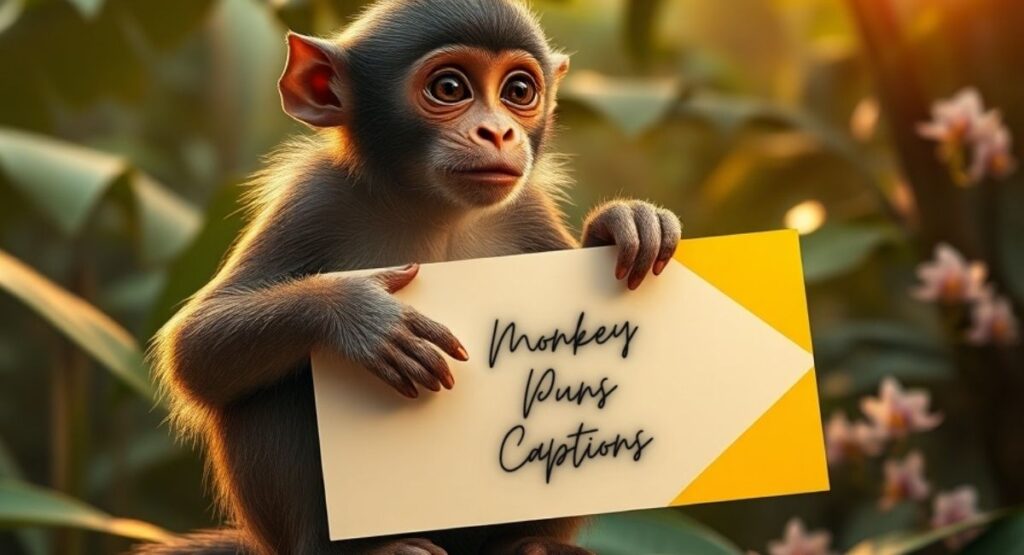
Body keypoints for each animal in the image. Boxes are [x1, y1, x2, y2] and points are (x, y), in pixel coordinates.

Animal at [135, 1, 682, 554]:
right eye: (450, 88)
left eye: (519, 92)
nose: (499, 132)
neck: (432, 210)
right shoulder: (314, 198)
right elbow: (196, 347)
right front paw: (362, 314)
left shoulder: (525, 209)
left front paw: (625, 221)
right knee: (267, 386)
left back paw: (530, 545)